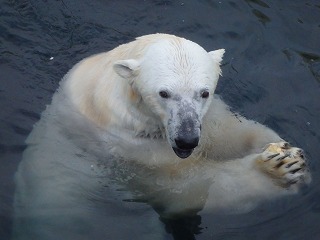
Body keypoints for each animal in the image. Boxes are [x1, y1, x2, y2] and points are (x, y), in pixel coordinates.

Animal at [13, 34, 312, 240]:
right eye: (164, 93)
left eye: (204, 92)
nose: (186, 140)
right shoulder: (129, 151)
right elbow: (189, 188)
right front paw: (275, 170)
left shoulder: (206, 118)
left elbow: (230, 132)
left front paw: (290, 154)